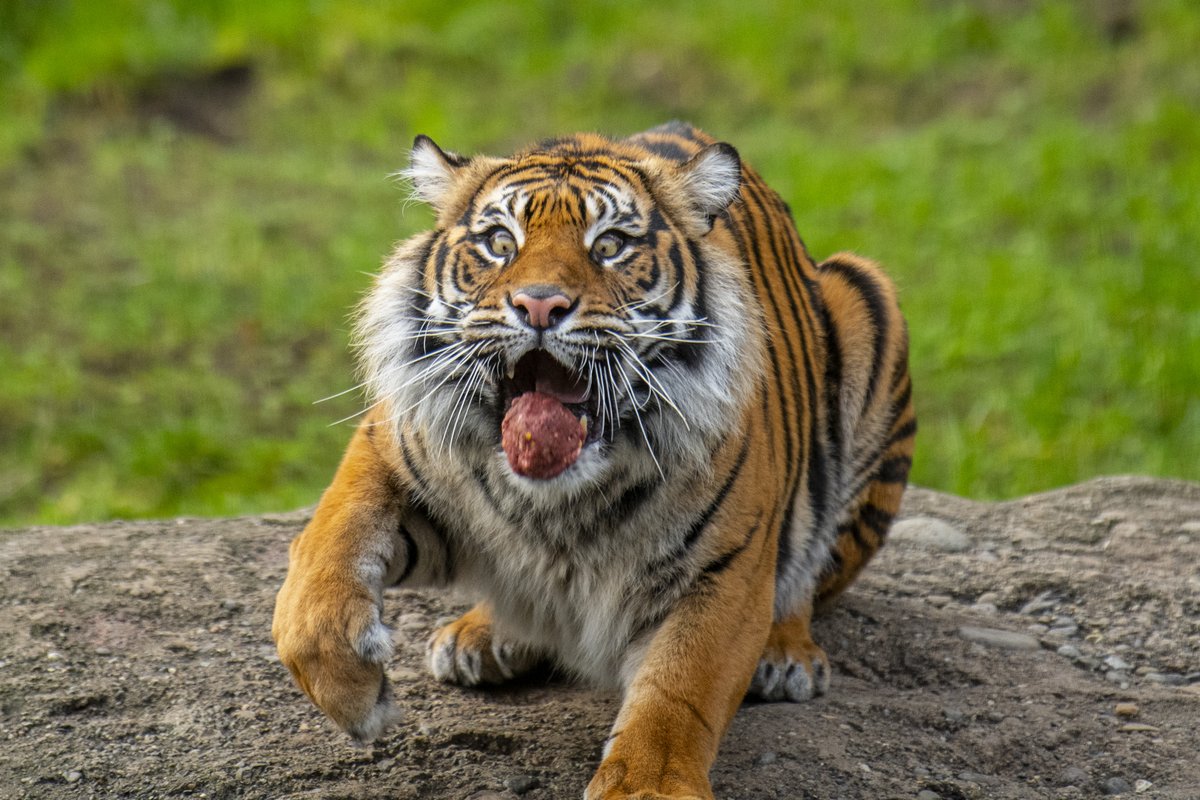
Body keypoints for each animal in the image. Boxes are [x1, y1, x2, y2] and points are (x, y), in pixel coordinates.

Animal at [272, 121, 915, 800]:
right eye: (500, 242)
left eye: (609, 246)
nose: (538, 306)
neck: (557, 497)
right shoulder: (394, 436)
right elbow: (322, 558)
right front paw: (356, 697)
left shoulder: (725, 570)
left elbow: (679, 690)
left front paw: (650, 787)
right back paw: (483, 636)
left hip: (866, 297)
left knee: (808, 578)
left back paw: (785, 654)